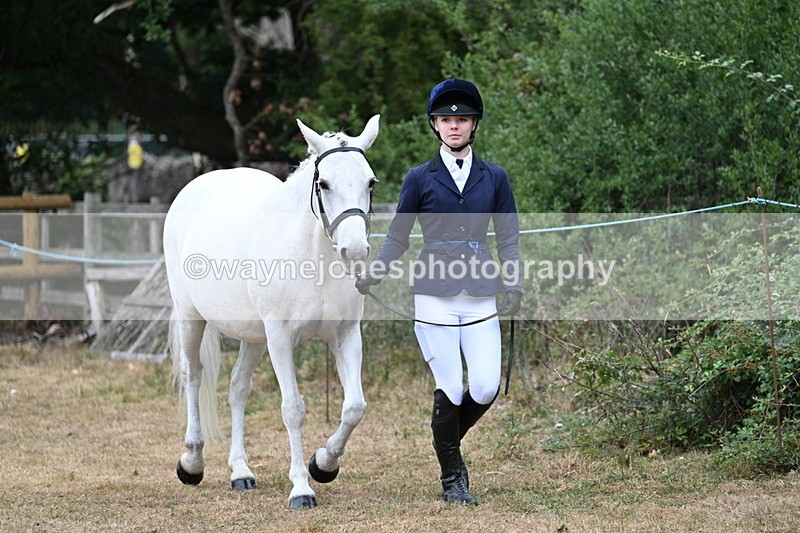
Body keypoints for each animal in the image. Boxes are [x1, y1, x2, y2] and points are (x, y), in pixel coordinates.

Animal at [163, 115, 380, 509]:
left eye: (370, 182)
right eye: (324, 183)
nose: (355, 251)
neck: (312, 256)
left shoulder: (345, 334)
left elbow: (355, 407)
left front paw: (323, 464)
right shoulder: (280, 337)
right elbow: (292, 409)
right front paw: (302, 489)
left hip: (253, 336)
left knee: (237, 388)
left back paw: (241, 472)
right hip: (192, 318)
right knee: (193, 376)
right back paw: (192, 463)